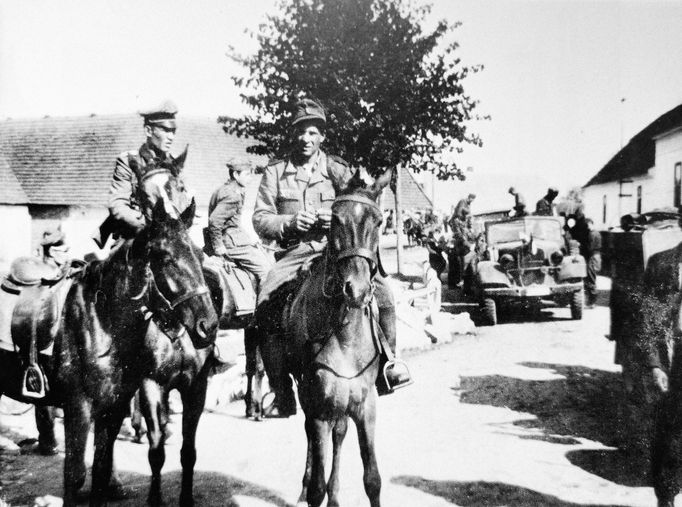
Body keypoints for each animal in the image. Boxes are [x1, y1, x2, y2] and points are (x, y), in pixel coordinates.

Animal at [0, 197, 216, 504]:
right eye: (166, 258)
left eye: (199, 255)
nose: (208, 325)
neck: (102, 320)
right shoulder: (79, 407)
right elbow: (75, 475)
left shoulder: (113, 409)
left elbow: (101, 472)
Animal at [255, 169, 390, 506]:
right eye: (335, 219)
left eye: (378, 221)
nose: (356, 289)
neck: (345, 335)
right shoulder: (318, 403)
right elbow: (317, 479)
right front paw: (313, 488)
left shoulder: (366, 405)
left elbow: (372, 479)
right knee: (313, 435)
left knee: (338, 434)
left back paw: (335, 495)